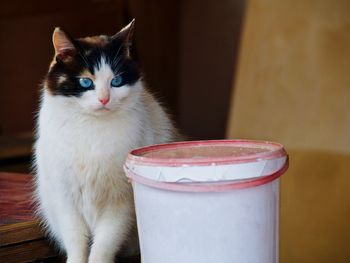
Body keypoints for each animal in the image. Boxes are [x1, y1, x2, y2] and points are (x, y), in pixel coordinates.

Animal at [33, 19, 180, 263]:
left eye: (116, 81)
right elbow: (77, 243)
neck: (91, 128)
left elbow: (103, 245)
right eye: (85, 82)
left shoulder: (120, 204)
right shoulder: (65, 199)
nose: (104, 99)